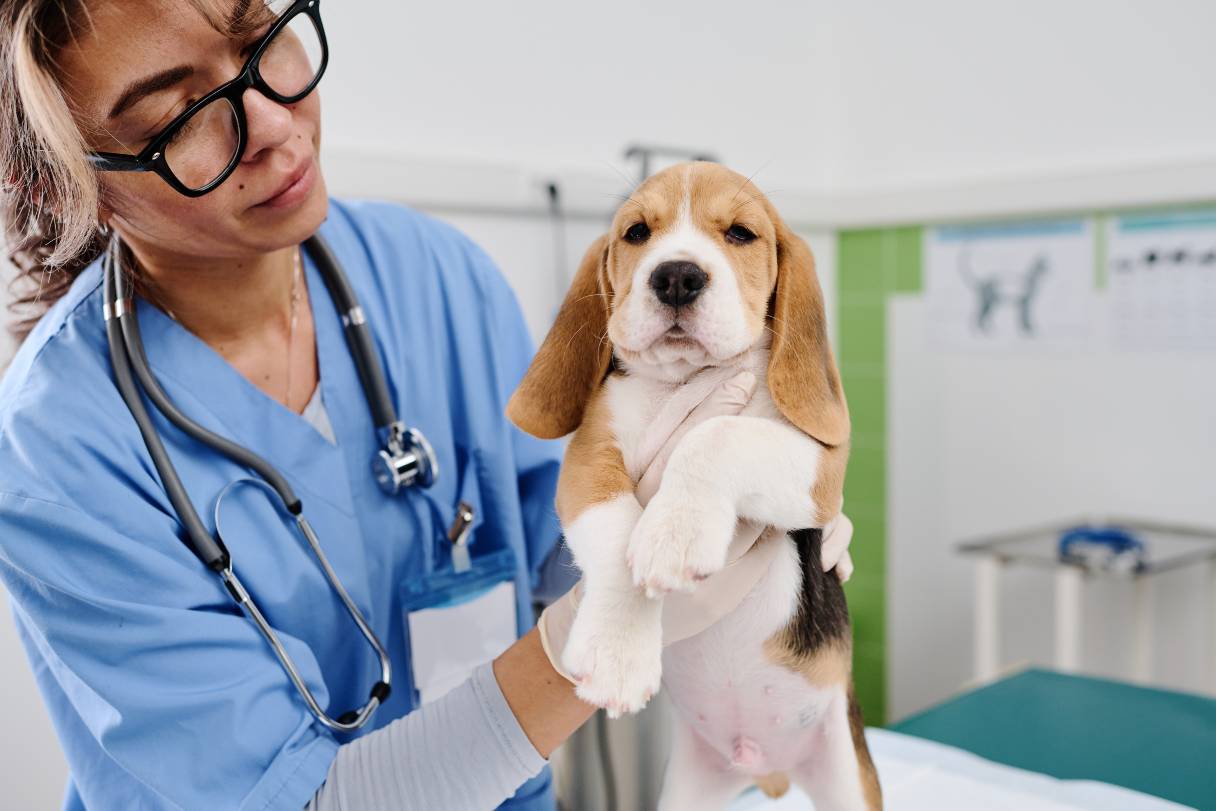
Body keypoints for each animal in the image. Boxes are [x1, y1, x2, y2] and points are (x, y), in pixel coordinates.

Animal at [508, 161, 880, 807]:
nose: (677, 276)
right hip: (688, 786)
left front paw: (675, 534)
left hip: (844, 773)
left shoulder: (821, 469)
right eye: (636, 233)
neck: (682, 380)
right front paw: (616, 650)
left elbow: (717, 434)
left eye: (740, 234)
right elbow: (617, 534)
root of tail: (763, 767)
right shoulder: (587, 459)